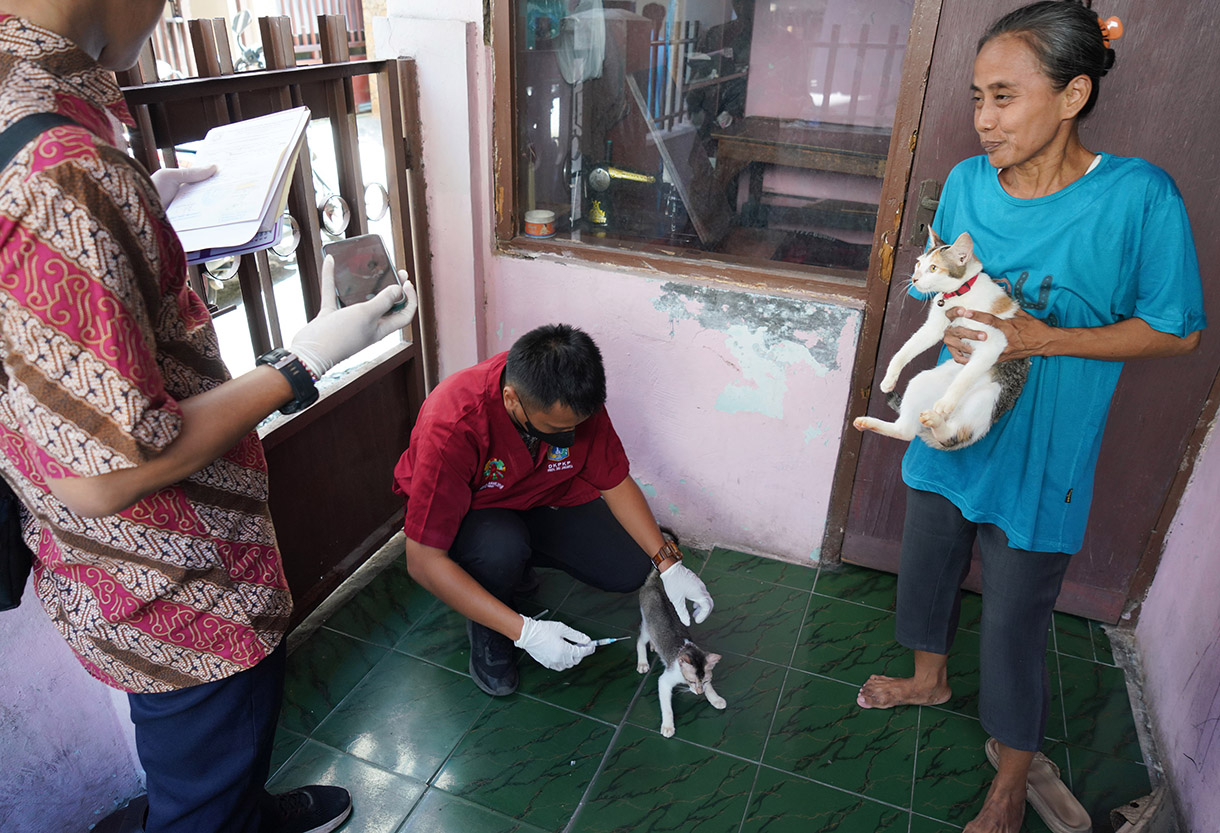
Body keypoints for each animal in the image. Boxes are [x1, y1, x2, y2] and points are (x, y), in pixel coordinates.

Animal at [639, 570, 722, 741]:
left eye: (705, 680)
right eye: (691, 681)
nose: (699, 693)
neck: (686, 649)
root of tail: (654, 584)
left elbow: (710, 688)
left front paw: (715, 699)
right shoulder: (664, 681)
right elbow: (667, 708)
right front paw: (668, 726)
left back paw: (654, 646)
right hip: (646, 625)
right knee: (639, 641)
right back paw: (642, 661)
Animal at [858, 228, 1029, 453]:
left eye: (933, 268)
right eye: (918, 264)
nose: (914, 279)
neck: (959, 295)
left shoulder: (994, 342)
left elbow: (965, 377)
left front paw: (948, 401)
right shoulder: (933, 328)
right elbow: (905, 350)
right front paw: (889, 378)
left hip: (988, 397)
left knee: (954, 434)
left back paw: (940, 415)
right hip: (923, 381)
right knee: (905, 431)